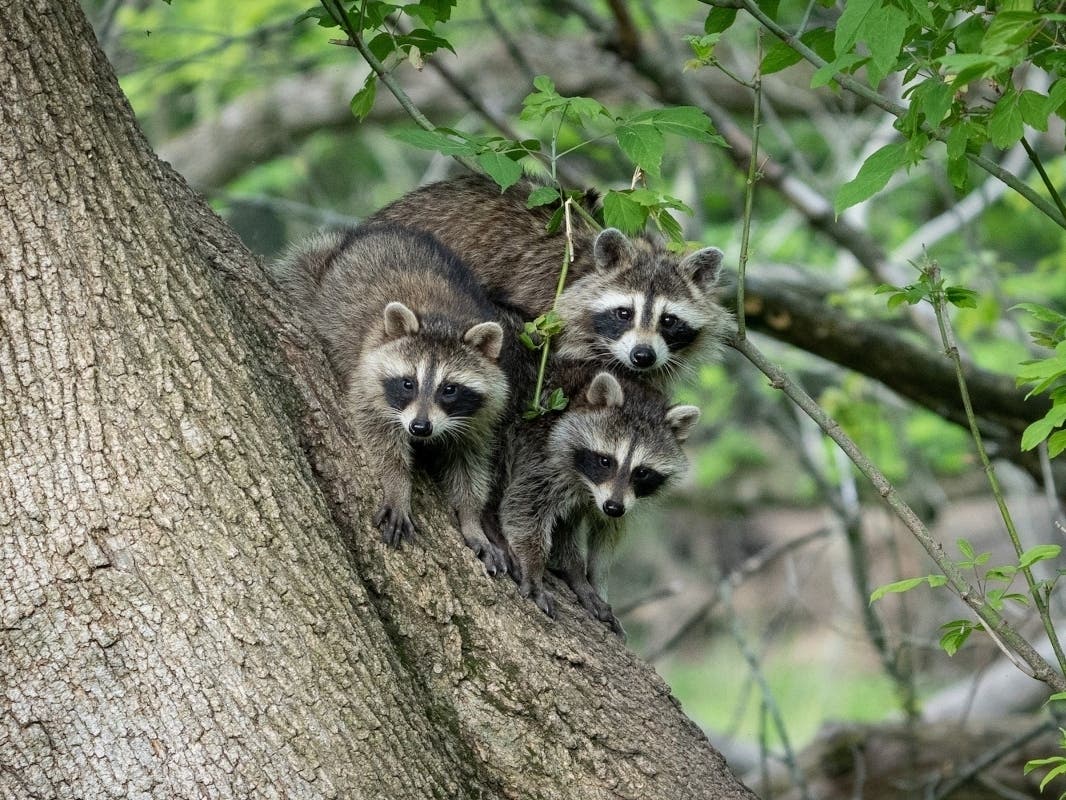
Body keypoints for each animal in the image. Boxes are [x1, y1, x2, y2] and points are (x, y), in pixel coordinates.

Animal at [273, 224, 510, 574]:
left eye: (449, 389)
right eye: (408, 384)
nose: (420, 428)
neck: (442, 319)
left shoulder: (479, 415)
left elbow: (470, 461)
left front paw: (471, 520)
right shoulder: (368, 379)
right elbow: (378, 434)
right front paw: (397, 485)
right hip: (312, 270)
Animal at [496, 363, 700, 634]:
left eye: (642, 472)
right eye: (605, 461)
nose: (613, 507)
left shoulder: (622, 500)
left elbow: (607, 531)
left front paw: (595, 578)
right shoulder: (542, 451)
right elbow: (524, 507)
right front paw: (533, 565)